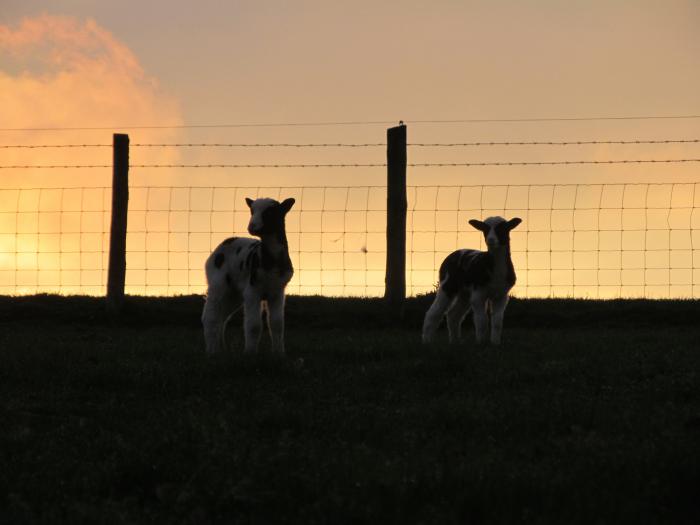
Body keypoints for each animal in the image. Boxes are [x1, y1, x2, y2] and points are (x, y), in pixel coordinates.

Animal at [201, 196, 294, 352]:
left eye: (270, 212)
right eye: (252, 211)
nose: (252, 227)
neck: (270, 260)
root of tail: (226, 242)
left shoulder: (277, 291)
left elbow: (277, 324)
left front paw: (279, 353)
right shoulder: (253, 290)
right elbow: (254, 326)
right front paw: (250, 353)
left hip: (234, 292)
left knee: (222, 317)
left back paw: (222, 349)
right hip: (217, 282)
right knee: (211, 317)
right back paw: (212, 351)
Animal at [422, 215, 520, 346]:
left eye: (503, 228)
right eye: (484, 229)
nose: (490, 240)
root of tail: (455, 253)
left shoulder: (501, 295)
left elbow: (497, 322)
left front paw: (495, 343)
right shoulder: (478, 293)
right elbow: (482, 321)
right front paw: (481, 343)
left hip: (465, 292)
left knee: (453, 315)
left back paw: (455, 341)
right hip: (448, 284)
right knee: (434, 312)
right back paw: (427, 340)